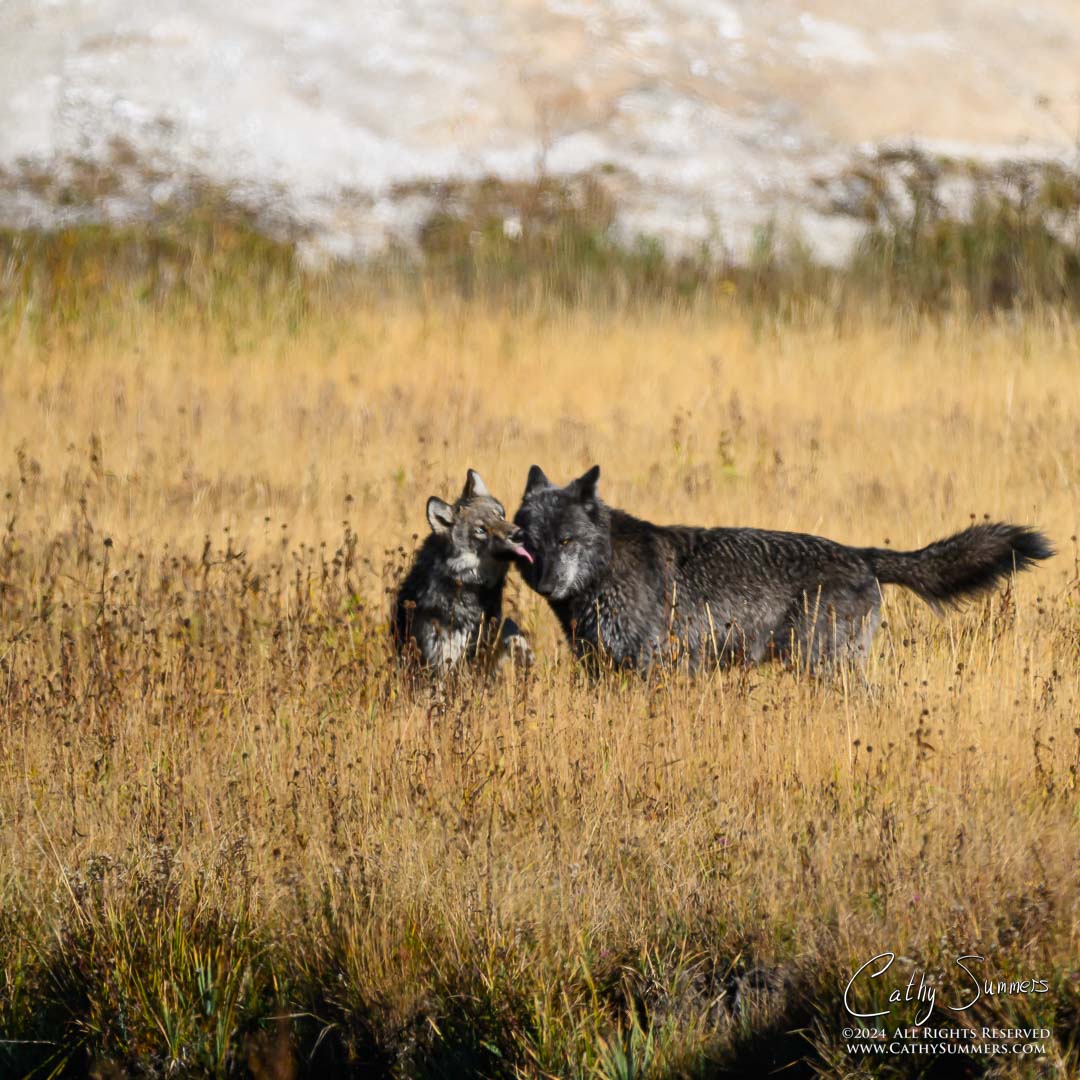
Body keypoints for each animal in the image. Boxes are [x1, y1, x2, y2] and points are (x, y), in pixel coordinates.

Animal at [393, 469, 534, 670]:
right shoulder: (445, 661)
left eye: (501, 517)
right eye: (481, 530)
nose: (519, 534)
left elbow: (511, 626)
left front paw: (525, 652)